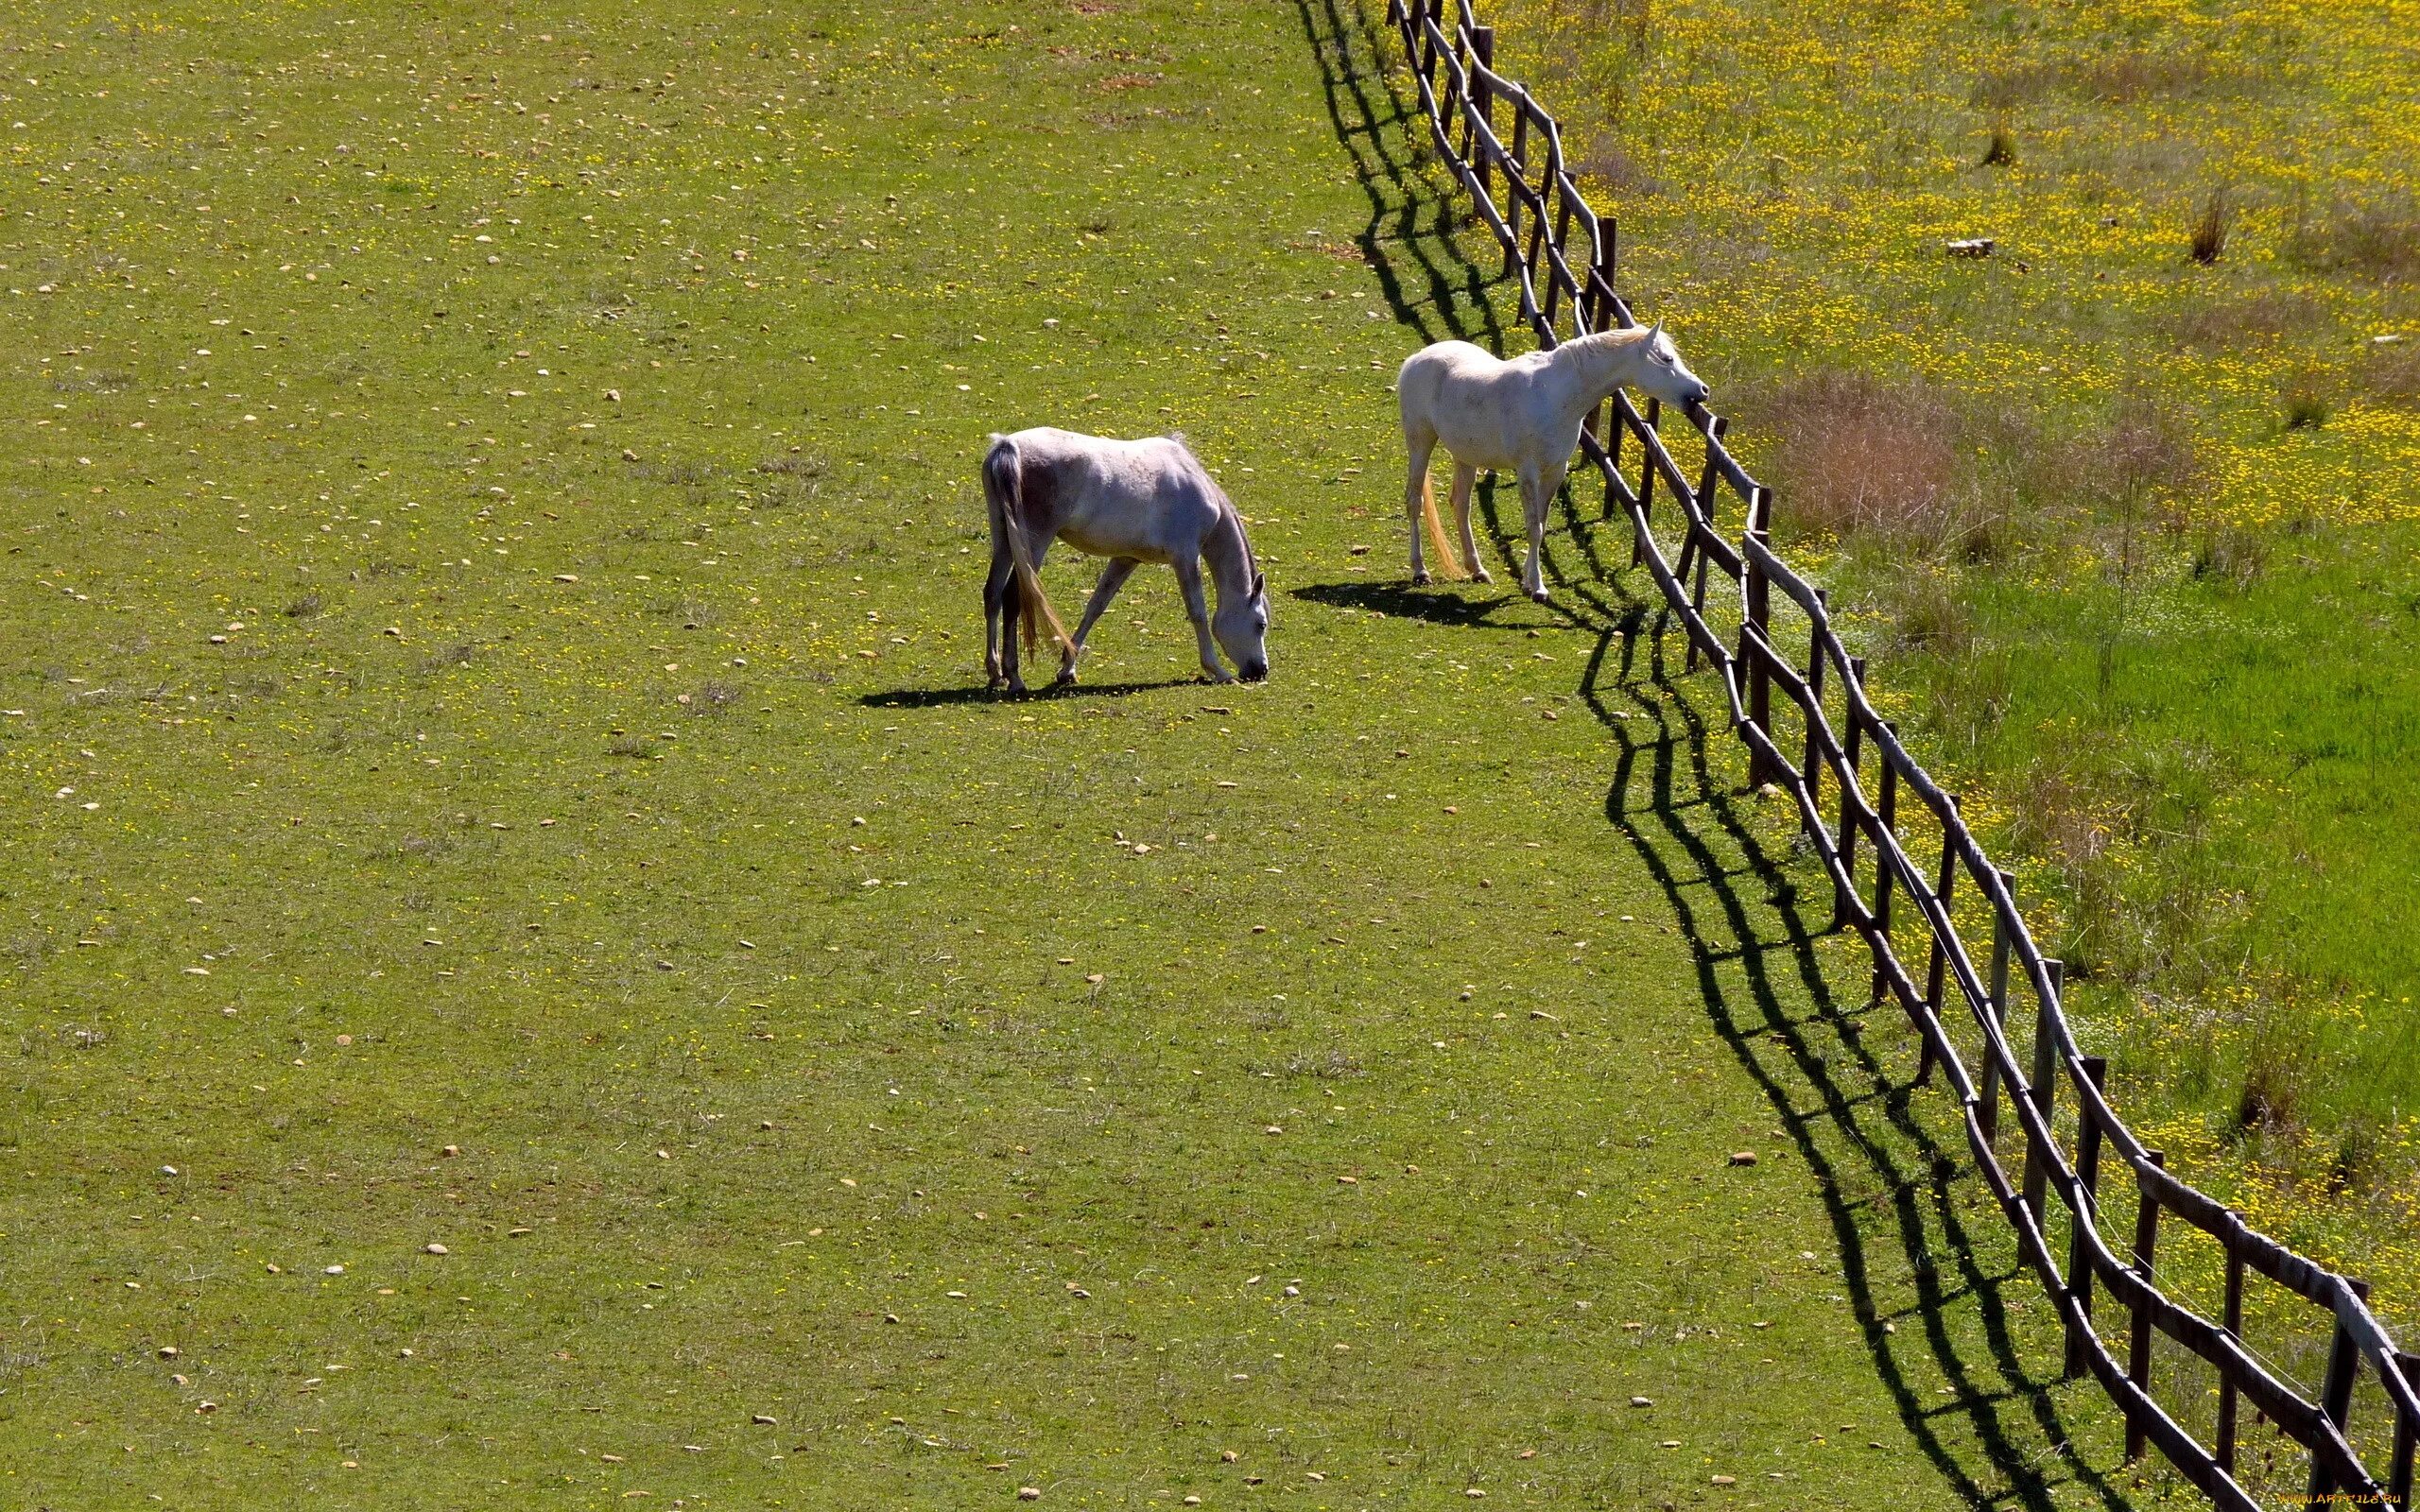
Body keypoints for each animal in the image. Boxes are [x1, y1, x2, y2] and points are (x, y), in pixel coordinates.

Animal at [977, 428, 1268, 692]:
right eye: (1261, 624)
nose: (1261, 670)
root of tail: (1008, 446)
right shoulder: (1185, 558)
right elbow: (1198, 612)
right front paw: (1217, 670)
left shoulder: (1125, 559)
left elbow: (1096, 605)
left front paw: (1068, 668)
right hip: (1033, 543)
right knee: (1012, 597)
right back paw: (1014, 677)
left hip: (1004, 539)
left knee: (992, 594)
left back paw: (995, 674)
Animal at [1393, 324, 1713, 602]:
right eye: (1667, 358)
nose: (1702, 390)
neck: (1555, 395)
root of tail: (1416, 359)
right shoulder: (1528, 472)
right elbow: (1533, 526)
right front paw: (1538, 588)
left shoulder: (1555, 471)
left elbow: (1542, 525)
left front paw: (1528, 582)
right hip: (1420, 443)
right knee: (1414, 500)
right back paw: (1420, 571)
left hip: (1466, 456)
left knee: (1461, 505)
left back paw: (1478, 570)